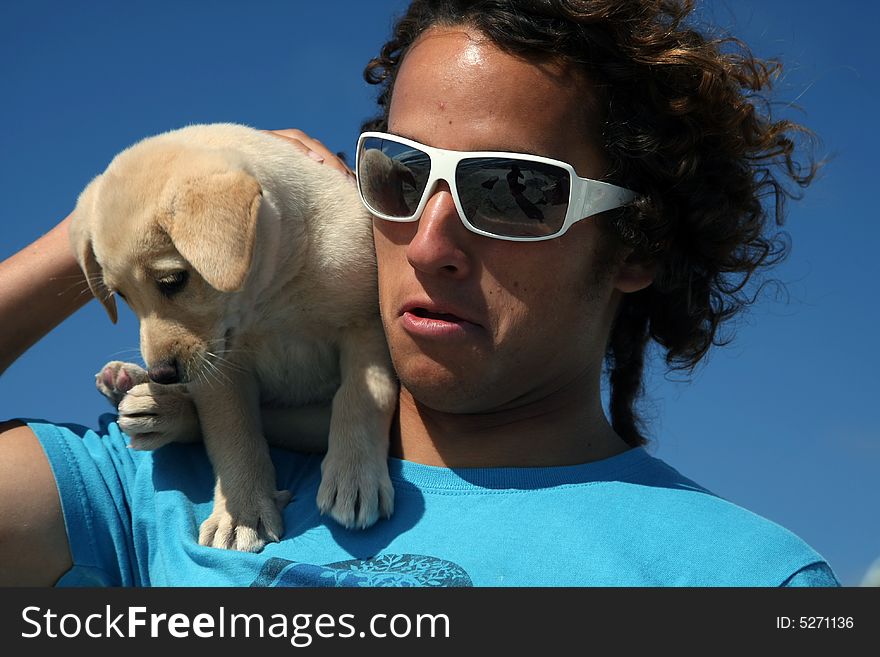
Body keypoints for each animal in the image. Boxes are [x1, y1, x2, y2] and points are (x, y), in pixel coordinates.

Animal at [69, 121, 398, 548]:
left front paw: (355, 474)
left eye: (173, 281)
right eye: (122, 295)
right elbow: (232, 434)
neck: (271, 296)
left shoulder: (364, 324)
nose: (162, 374)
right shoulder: (220, 368)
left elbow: (362, 396)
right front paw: (241, 513)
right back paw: (137, 388)